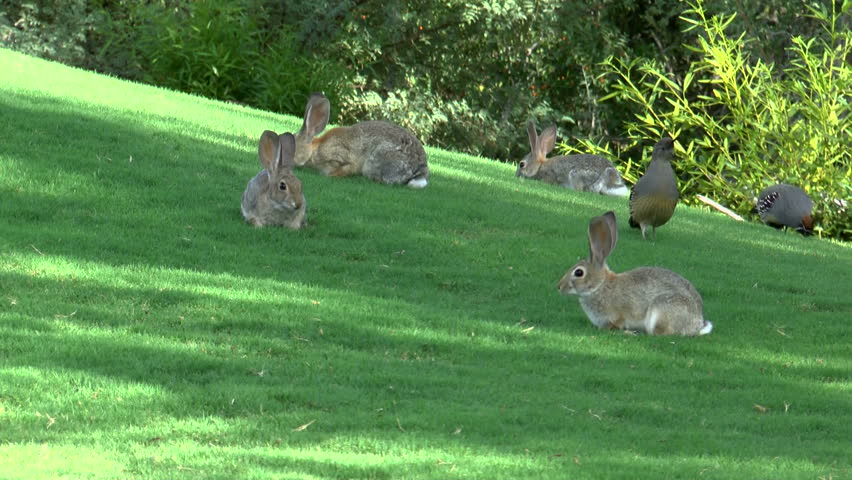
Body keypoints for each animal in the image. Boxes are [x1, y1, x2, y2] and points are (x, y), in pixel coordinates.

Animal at [293, 93, 429, 188]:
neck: (313, 151)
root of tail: (419, 169)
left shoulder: (342, 158)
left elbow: (345, 169)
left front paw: (330, 176)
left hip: (377, 160)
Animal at [558, 211, 713, 336]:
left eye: (578, 272)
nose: (559, 286)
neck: (600, 285)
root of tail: (696, 325)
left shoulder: (618, 314)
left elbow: (617, 324)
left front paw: (624, 332)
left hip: (661, 310)